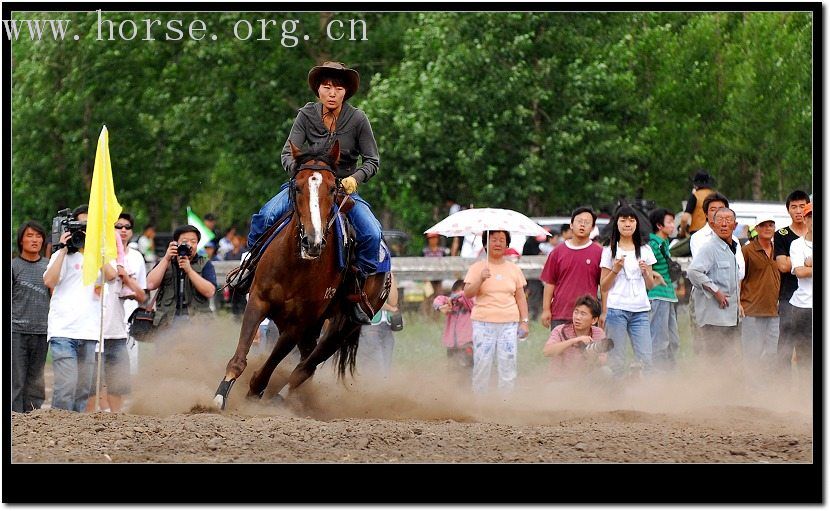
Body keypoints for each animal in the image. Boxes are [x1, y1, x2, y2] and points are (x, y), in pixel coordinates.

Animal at [218, 141, 394, 412]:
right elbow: (240, 355)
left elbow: (272, 364)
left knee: (304, 369)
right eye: (297, 186)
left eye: (333, 188)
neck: (296, 265)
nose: (312, 242)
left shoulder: (299, 322)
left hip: (340, 328)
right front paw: (220, 395)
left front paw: (255, 392)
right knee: (303, 364)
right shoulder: (258, 300)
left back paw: (282, 397)